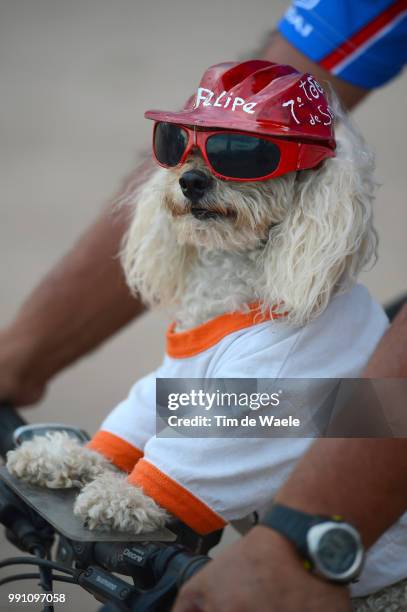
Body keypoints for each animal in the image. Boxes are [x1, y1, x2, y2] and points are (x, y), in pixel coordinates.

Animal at [7, 62, 388, 536]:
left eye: (244, 154)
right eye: (178, 143)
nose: (190, 181)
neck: (235, 274)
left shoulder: (264, 395)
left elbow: (197, 459)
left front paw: (121, 496)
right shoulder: (173, 374)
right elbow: (130, 423)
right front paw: (62, 454)